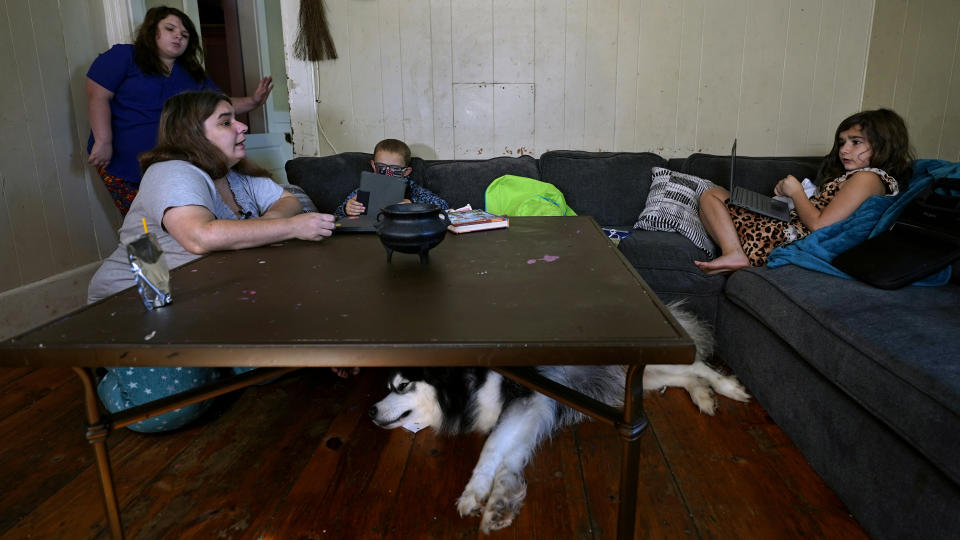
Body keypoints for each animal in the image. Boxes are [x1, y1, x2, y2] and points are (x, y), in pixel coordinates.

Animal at [370, 302, 752, 532]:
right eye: (389, 386)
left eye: (402, 385)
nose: (371, 410)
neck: (467, 383)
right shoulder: (530, 412)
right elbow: (510, 456)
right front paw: (501, 501)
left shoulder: (526, 401)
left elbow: (491, 449)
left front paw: (474, 493)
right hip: (644, 378)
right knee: (687, 376)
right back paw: (704, 396)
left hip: (648, 368)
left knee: (699, 365)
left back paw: (728, 388)